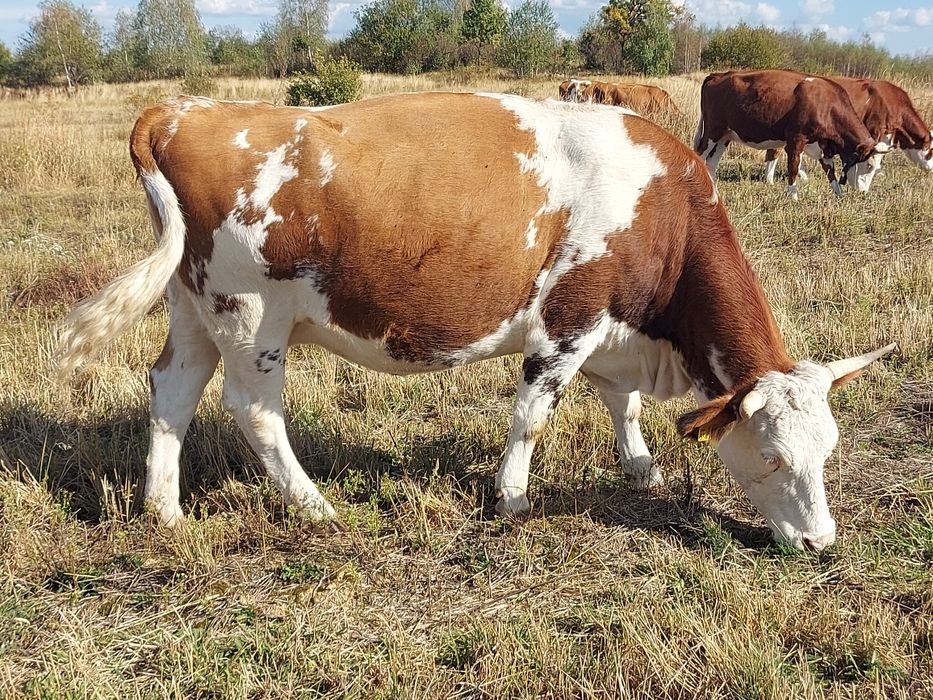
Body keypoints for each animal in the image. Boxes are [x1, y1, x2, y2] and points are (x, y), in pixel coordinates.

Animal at [56, 92, 894, 550]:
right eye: (775, 458)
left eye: (828, 451)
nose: (819, 541)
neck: (663, 205)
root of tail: (185, 110)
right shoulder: (565, 324)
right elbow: (531, 416)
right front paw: (513, 498)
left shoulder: (610, 328)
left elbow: (620, 403)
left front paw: (638, 464)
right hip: (252, 315)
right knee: (253, 411)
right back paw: (315, 505)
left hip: (193, 305)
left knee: (171, 391)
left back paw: (163, 510)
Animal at [694, 69, 891, 200]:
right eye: (869, 166)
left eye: (877, 168)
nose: (864, 192)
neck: (826, 104)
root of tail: (718, 75)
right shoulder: (796, 139)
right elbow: (794, 167)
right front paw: (793, 196)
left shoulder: (822, 145)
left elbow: (830, 172)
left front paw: (838, 194)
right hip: (712, 131)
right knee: (700, 154)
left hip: (725, 135)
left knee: (712, 162)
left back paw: (713, 188)